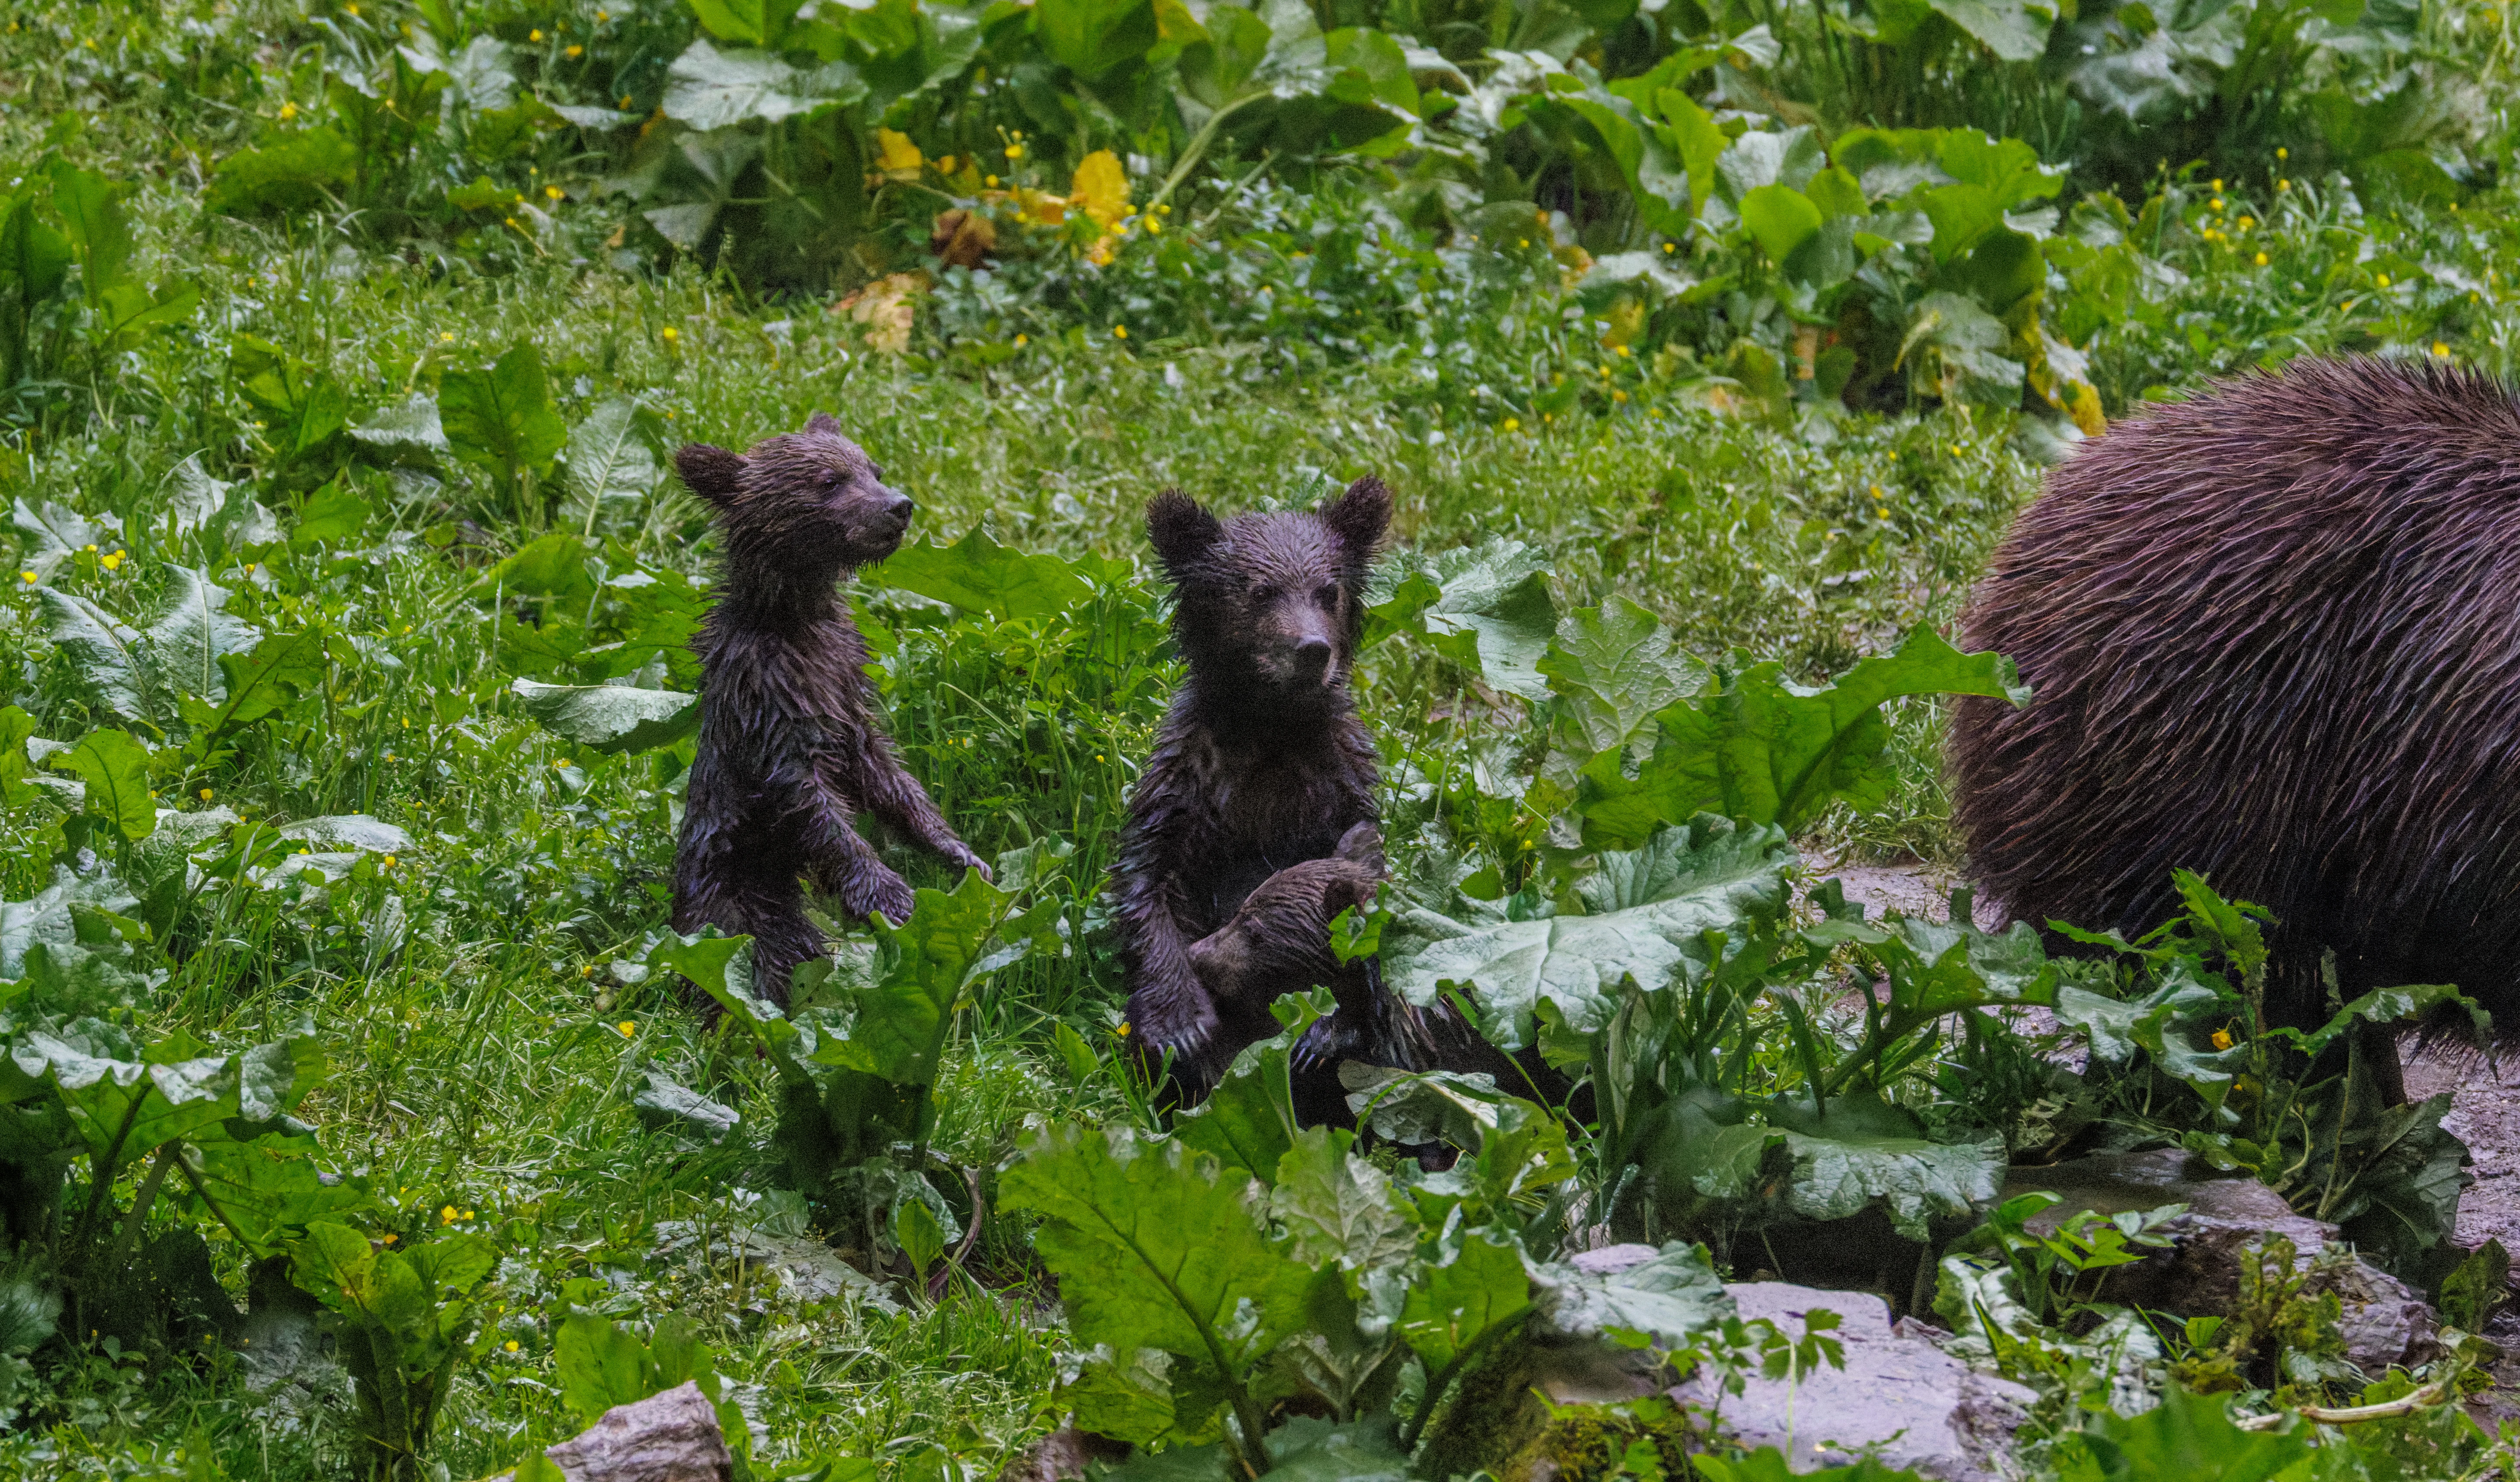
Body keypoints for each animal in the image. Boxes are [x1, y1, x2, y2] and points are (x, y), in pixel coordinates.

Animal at [670, 413, 988, 1003]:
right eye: (828, 480)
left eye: (873, 469)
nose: (899, 505)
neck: (797, 622)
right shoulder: (771, 708)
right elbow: (811, 806)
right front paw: (891, 895)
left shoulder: (844, 690)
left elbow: (890, 779)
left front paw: (960, 854)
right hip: (734, 904)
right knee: (755, 959)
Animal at [1110, 479, 1496, 1110]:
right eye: (1260, 591)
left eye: (1328, 590)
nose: (1312, 649)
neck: (1270, 730)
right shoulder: (1187, 786)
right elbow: (1150, 885)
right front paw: (1181, 1027)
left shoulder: (1340, 786)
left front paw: (1325, 1031)